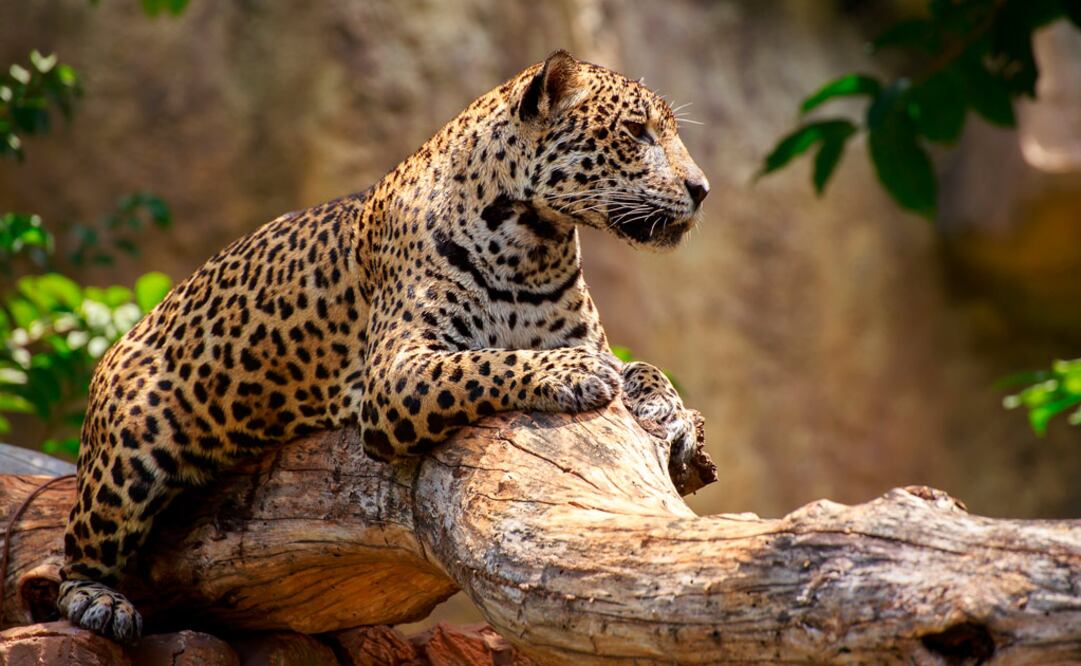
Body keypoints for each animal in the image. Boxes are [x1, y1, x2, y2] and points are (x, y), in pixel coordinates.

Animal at [57, 49, 710, 642]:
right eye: (636, 131)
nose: (701, 189)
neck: (533, 245)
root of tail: (127, 336)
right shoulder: (398, 373)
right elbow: (488, 361)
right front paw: (571, 373)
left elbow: (644, 368)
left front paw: (673, 416)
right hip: (129, 454)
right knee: (75, 551)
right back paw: (99, 603)